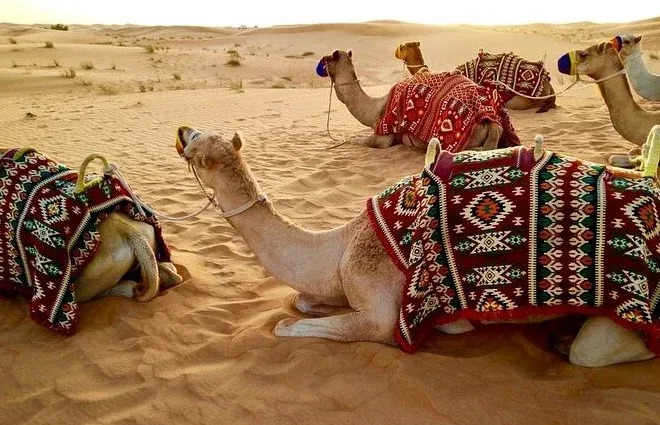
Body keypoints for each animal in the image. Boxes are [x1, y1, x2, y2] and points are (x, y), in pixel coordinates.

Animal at [174, 125, 660, 367]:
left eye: (195, 148)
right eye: (199, 133)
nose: (181, 128)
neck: (341, 244)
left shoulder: (380, 310)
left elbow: (287, 325)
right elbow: (303, 301)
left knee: (592, 353)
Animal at [318, 50, 518, 151]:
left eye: (328, 59)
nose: (320, 64)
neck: (374, 108)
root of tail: (491, 121)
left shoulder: (383, 136)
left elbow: (361, 141)